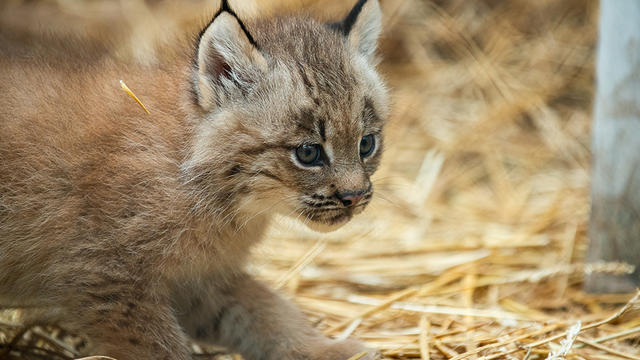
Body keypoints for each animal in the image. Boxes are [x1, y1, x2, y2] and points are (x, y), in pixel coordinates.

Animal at [0, 0, 388, 360]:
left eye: (366, 144)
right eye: (308, 153)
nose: (355, 196)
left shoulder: (196, 277)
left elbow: (266, 309)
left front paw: (325, 349)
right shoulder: (105, 274)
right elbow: (162, 348)